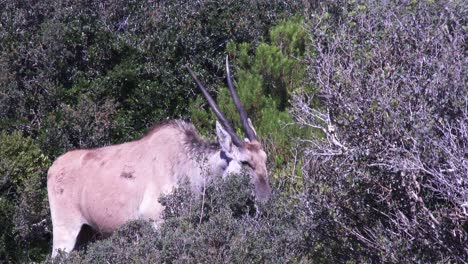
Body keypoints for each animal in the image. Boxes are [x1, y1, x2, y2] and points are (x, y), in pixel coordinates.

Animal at [47, 56, 270, 256]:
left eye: (265, 158)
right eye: (245, 162)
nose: (265, 200)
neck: (185, 162)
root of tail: (54, 167)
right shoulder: (156, 222)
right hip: (65, 232)